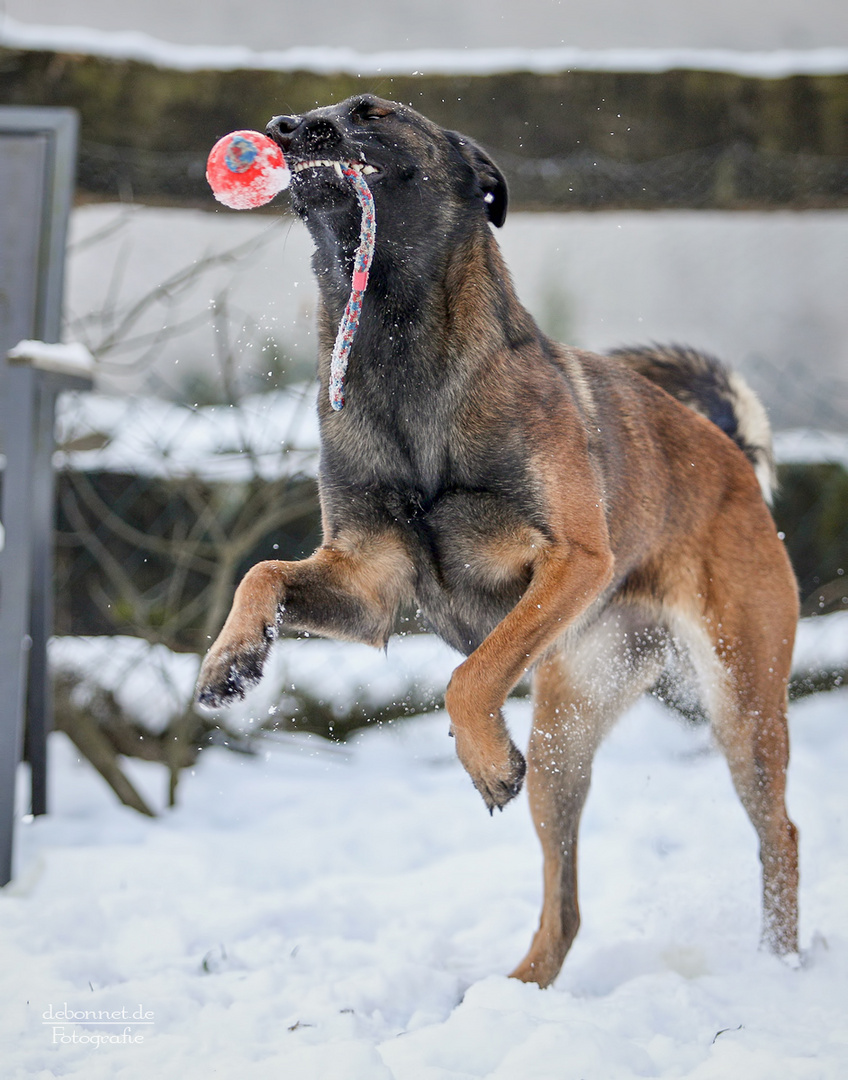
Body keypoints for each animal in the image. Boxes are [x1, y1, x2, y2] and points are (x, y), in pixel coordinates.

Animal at [195, 95, 799, 989]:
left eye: (373, 113)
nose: (285, 126)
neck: (397, 349)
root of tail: (730, 453)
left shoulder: (573, 563)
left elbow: (469, 675)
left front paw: (480, 755)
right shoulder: (367, 585)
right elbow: (262, 572)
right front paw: (232, 659)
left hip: (740, 702)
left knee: (780, 834)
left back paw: (781, 964)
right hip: (562, 741)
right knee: (567, 898)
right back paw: (520, 989)